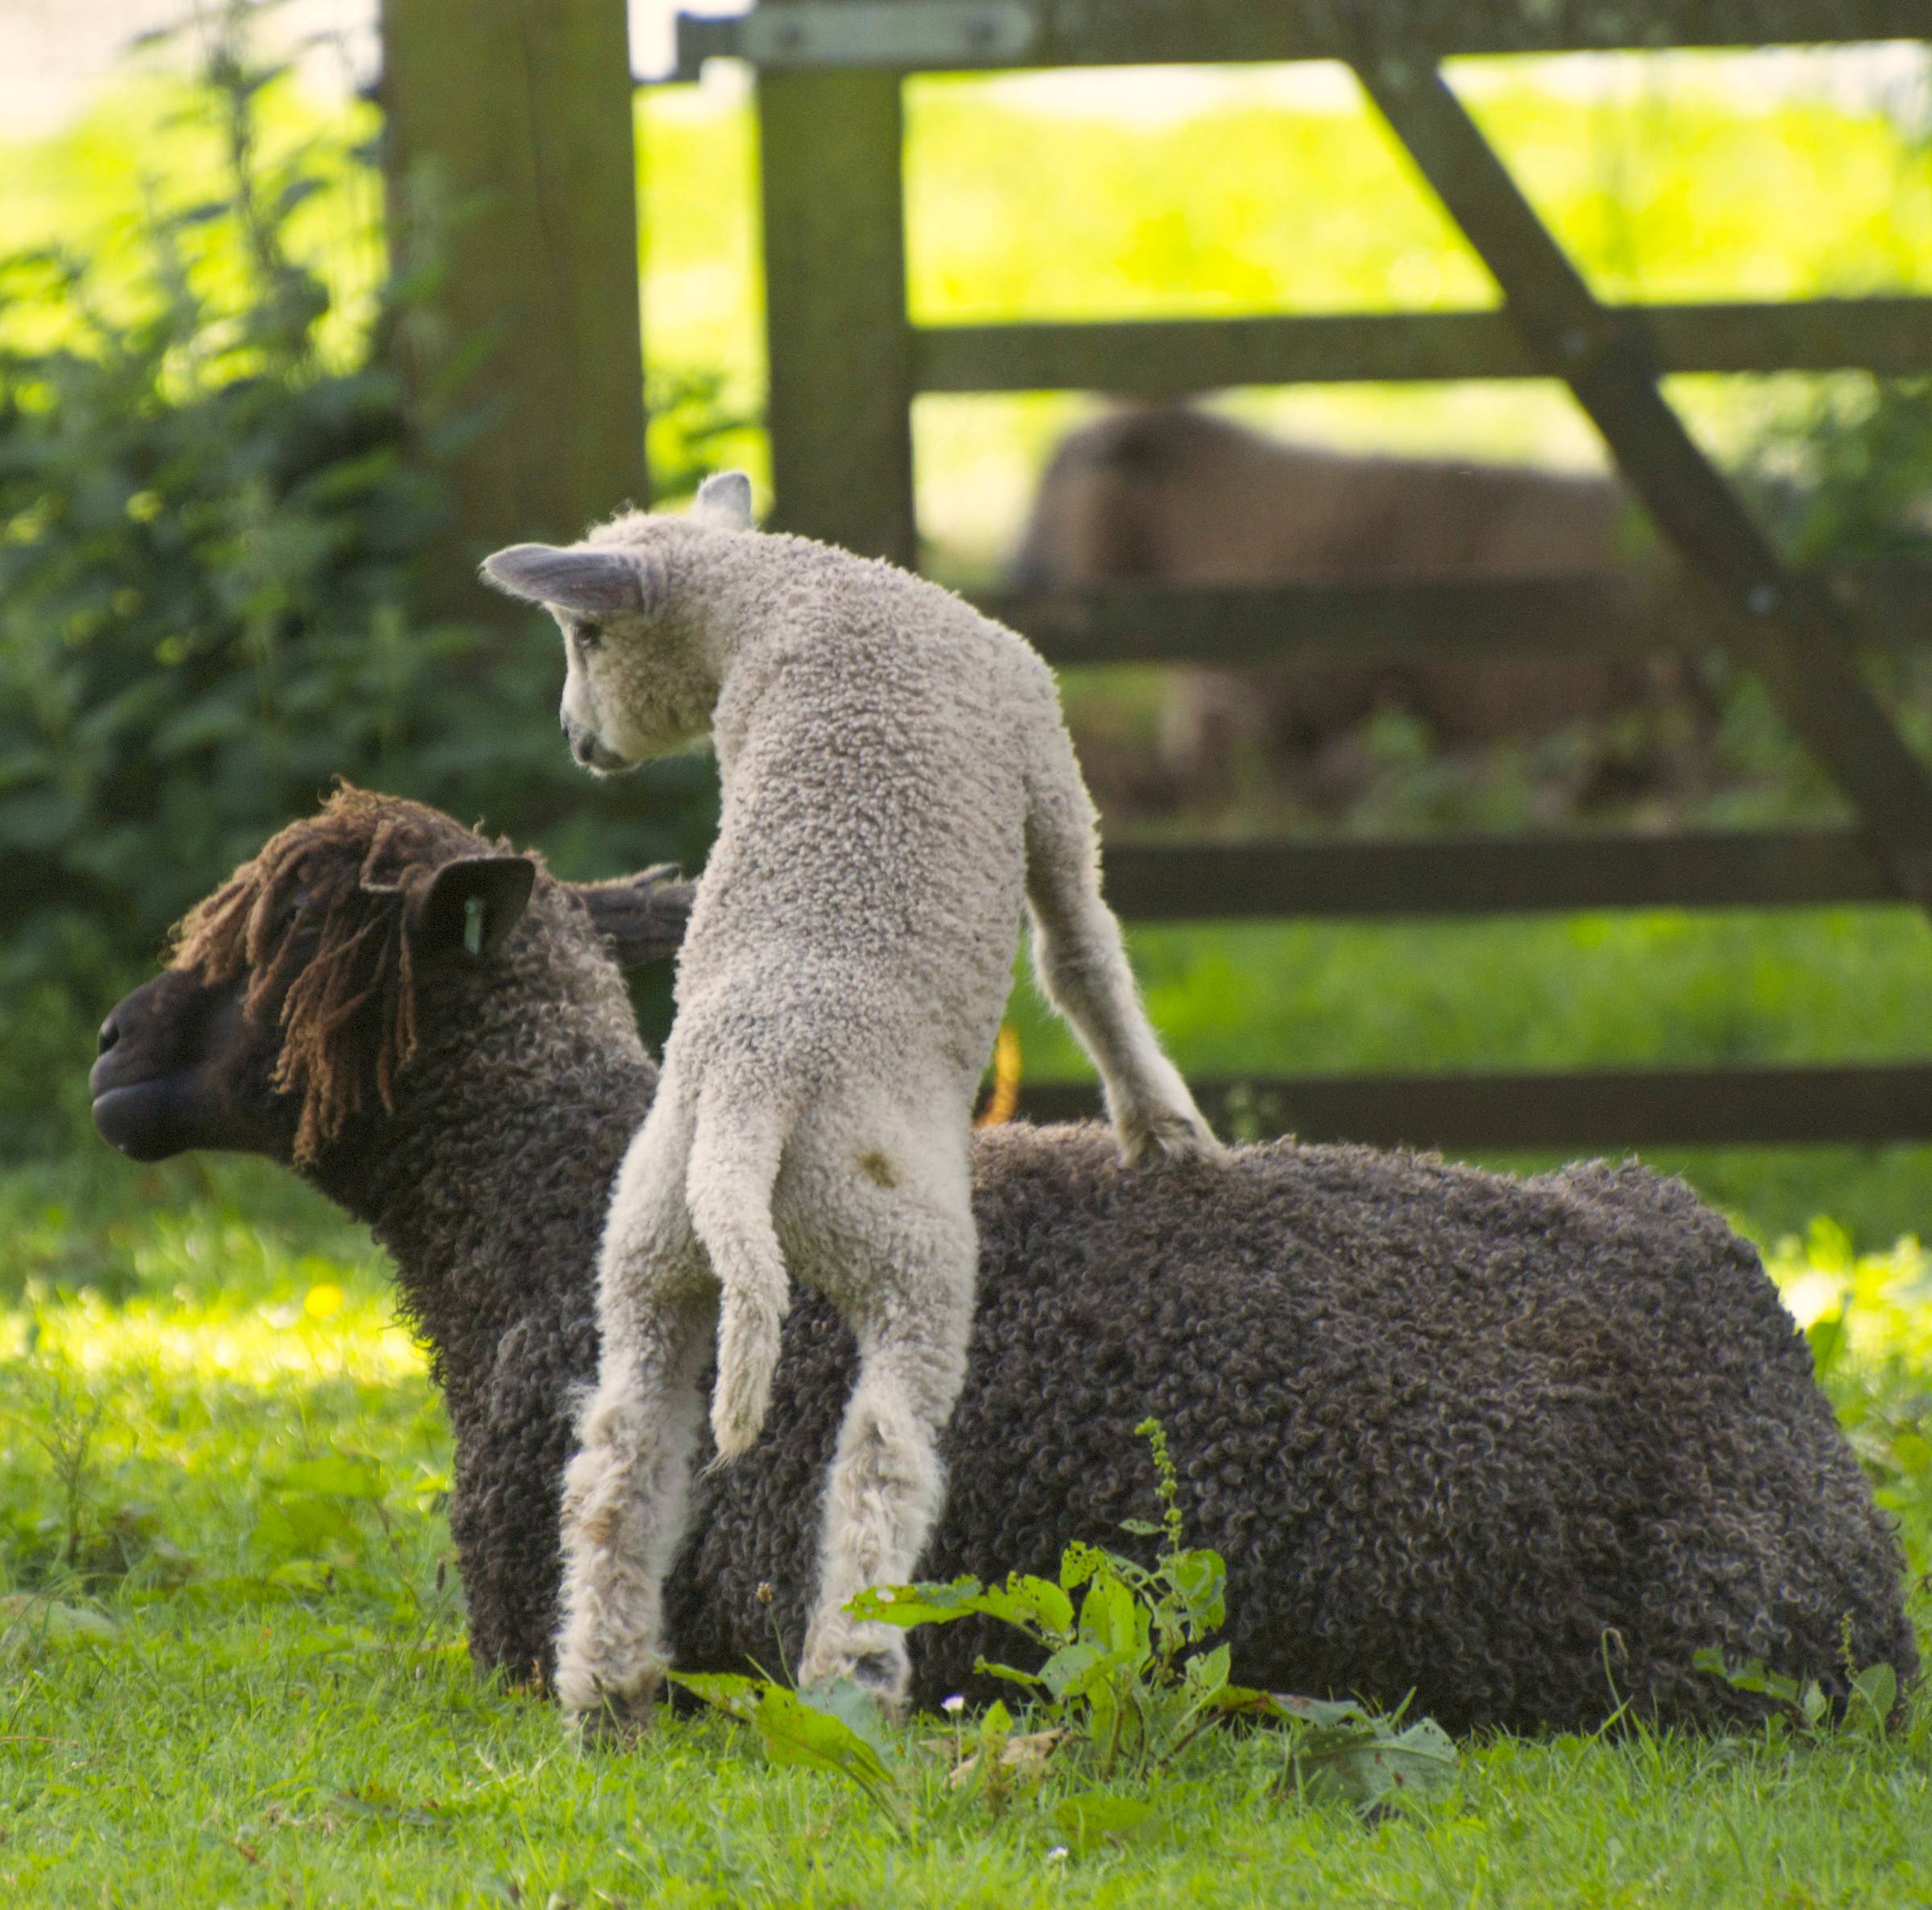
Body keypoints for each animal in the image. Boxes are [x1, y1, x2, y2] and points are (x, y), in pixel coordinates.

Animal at [479, 475, 1218, 1726]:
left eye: (584, 639)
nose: (577, 742)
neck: (791, 590)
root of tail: (751, 1091)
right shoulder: (1045, 753)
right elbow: (1082, 954)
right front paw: (1169, 1134)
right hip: (901, 1245)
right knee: (882, 1452)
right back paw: (856, 1671)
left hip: (647, 1248)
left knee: (622, 1452)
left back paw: (606, 1691)